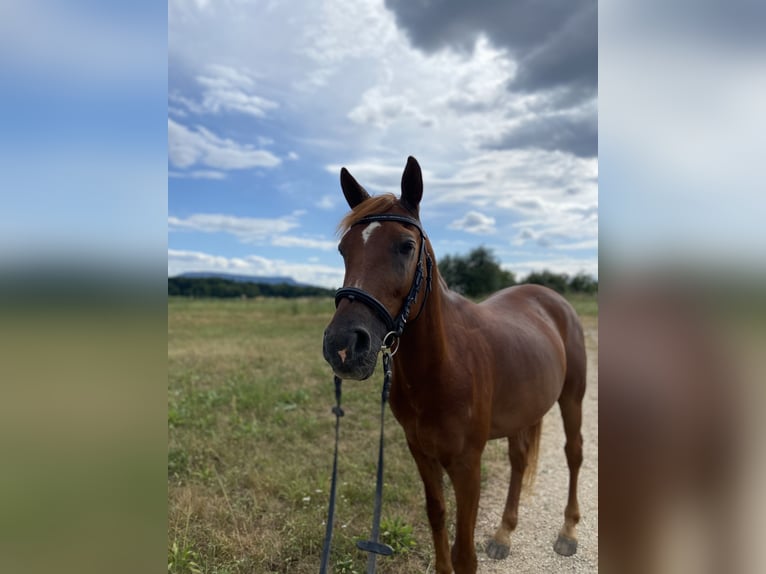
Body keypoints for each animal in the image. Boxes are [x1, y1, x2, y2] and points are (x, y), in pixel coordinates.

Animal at [322, 156, 587, 574]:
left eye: (406, 246)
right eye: (343, 249)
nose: (343, 346)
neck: (442, 368)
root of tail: (550, 298)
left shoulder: (466, 465)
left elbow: (464, 550)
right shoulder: (422, 454)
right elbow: (437, 515)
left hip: (572, 398)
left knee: (573, 453)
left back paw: (568, 531)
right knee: (518, 460)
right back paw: (503, 534)